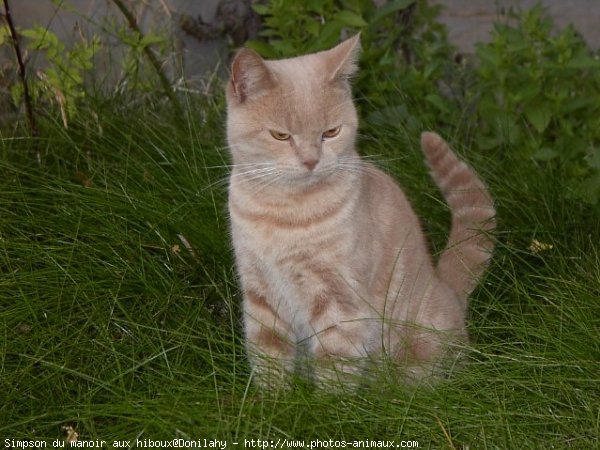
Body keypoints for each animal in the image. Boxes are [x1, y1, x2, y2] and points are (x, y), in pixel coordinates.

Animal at [225, 34, 496, 386]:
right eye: (281, 135)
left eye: (331, 132)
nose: (311, 161)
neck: (283, 212)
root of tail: (447, 289)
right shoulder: (260, 294)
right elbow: (269, 360)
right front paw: (273, 399)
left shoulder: (339, 302)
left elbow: (335, 369)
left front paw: (328, 402)